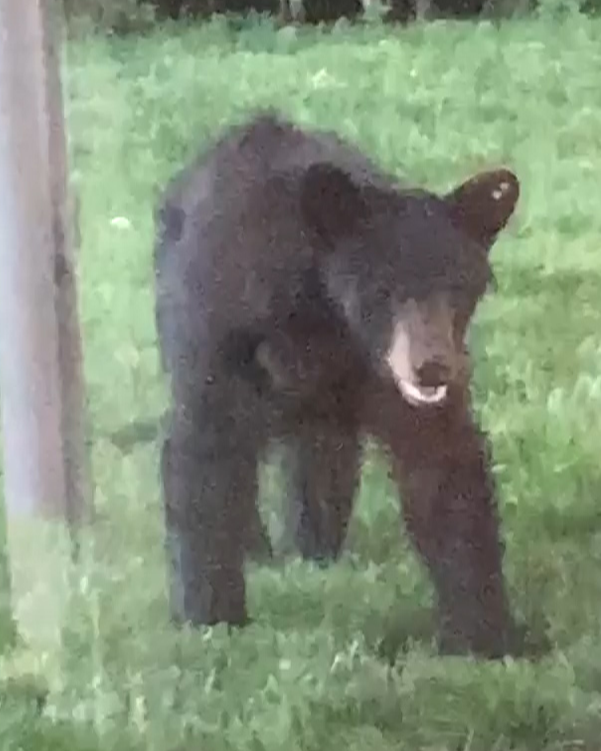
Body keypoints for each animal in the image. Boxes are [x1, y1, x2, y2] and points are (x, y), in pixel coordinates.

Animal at [154, 110, 523, 659]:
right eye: (384, 288)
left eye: (458, 285)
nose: (433, 368)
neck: (324, 316)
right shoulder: (223, 334)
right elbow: (205, 454)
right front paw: (213, 620)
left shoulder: (383, 377)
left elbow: (442, 464)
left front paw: (483, 639)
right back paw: (259, 547)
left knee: (323, 459)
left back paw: (316, 550)